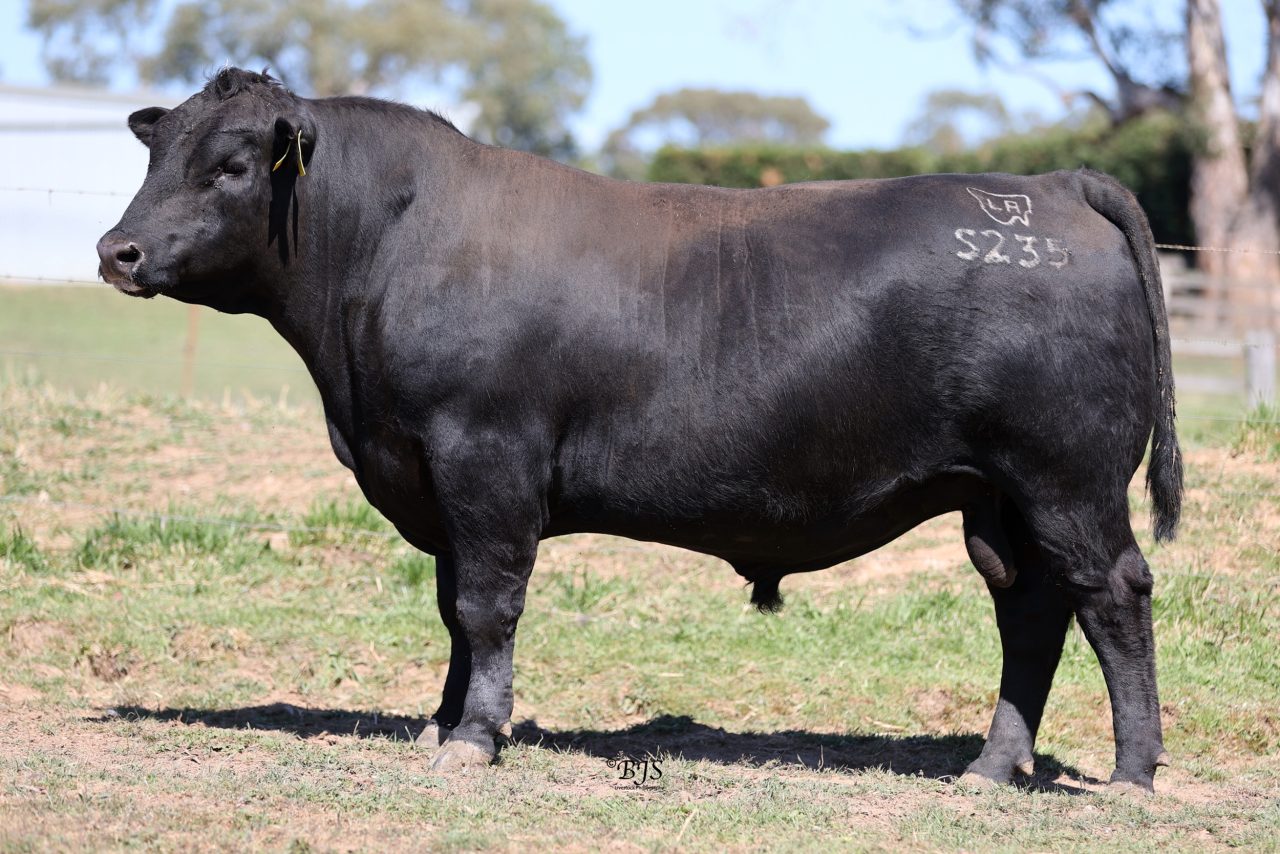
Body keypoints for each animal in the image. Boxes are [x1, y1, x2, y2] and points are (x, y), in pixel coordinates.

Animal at [97, 68, 1177, 793]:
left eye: (234, 164)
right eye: (155, 152)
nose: (118, 250)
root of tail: (1049, 185)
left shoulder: (484, 459)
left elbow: (487, 606)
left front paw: (475, 736)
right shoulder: (434, 480)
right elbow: (450, 609)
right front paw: (439, 721)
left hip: (1067, 479)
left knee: (1111, 593)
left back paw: (1131, 771)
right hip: (995, 497)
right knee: (1029, 610)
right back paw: (990, 765)